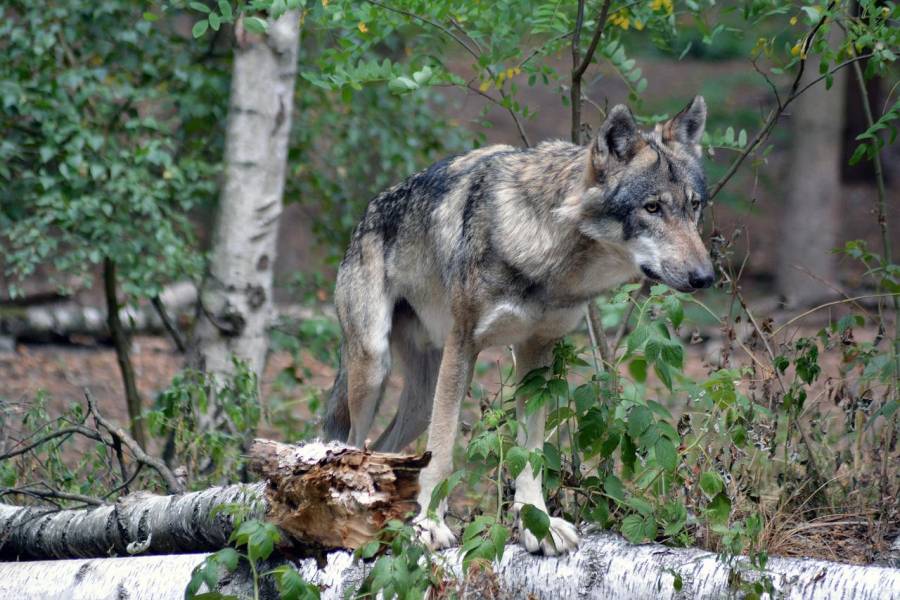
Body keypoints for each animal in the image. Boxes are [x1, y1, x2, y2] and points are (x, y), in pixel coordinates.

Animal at [322, 96, 712, 556]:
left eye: (694, 205)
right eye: (652, 208)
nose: (705, 277)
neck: (551, 255)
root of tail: (367, 212)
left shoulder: (536, 355)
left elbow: (531, 452)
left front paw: (536, 524)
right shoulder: (464, 344)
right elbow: (442, 450)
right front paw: (430, 524)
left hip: (419, 399)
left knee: (384, 452)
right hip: (373, 369)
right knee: (353, 445)